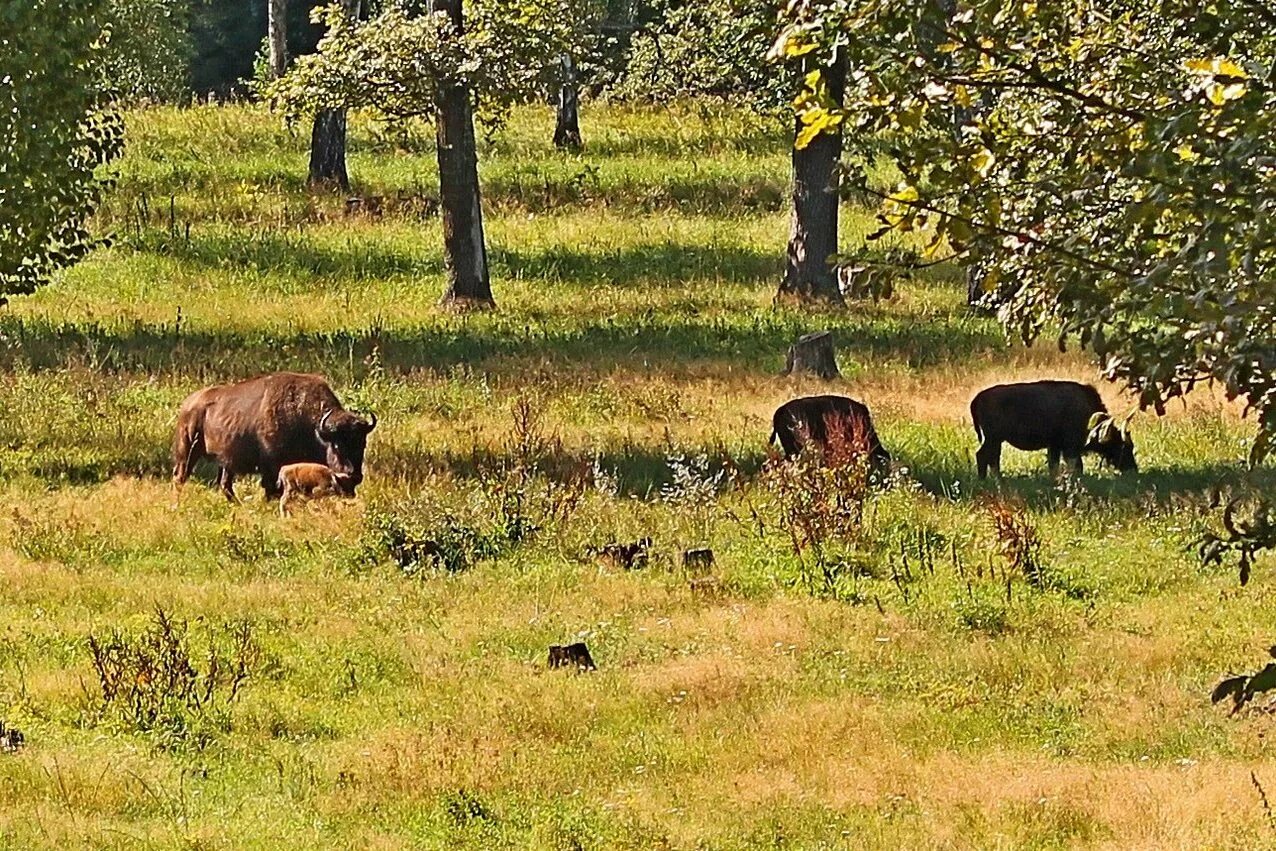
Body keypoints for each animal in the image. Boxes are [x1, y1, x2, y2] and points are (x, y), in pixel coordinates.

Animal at [172, 370, 375, 502]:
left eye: (362, 444)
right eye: (337, 445)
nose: (353, 476)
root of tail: (187, 404)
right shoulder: (271, 467)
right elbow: (272, 489)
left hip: (225, 462)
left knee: (224, 484)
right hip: (187, 452)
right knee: (180, 477)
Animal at [969, 380, 1143, 479]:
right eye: (1122, 447)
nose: (1132, 469)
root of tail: (977, 398)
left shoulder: (1055, 446)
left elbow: (1054, 465)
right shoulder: (1070, 448)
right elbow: (1076, 466)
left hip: (995, 440)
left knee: (991, 458)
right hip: (993, 439)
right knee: (984, 456)